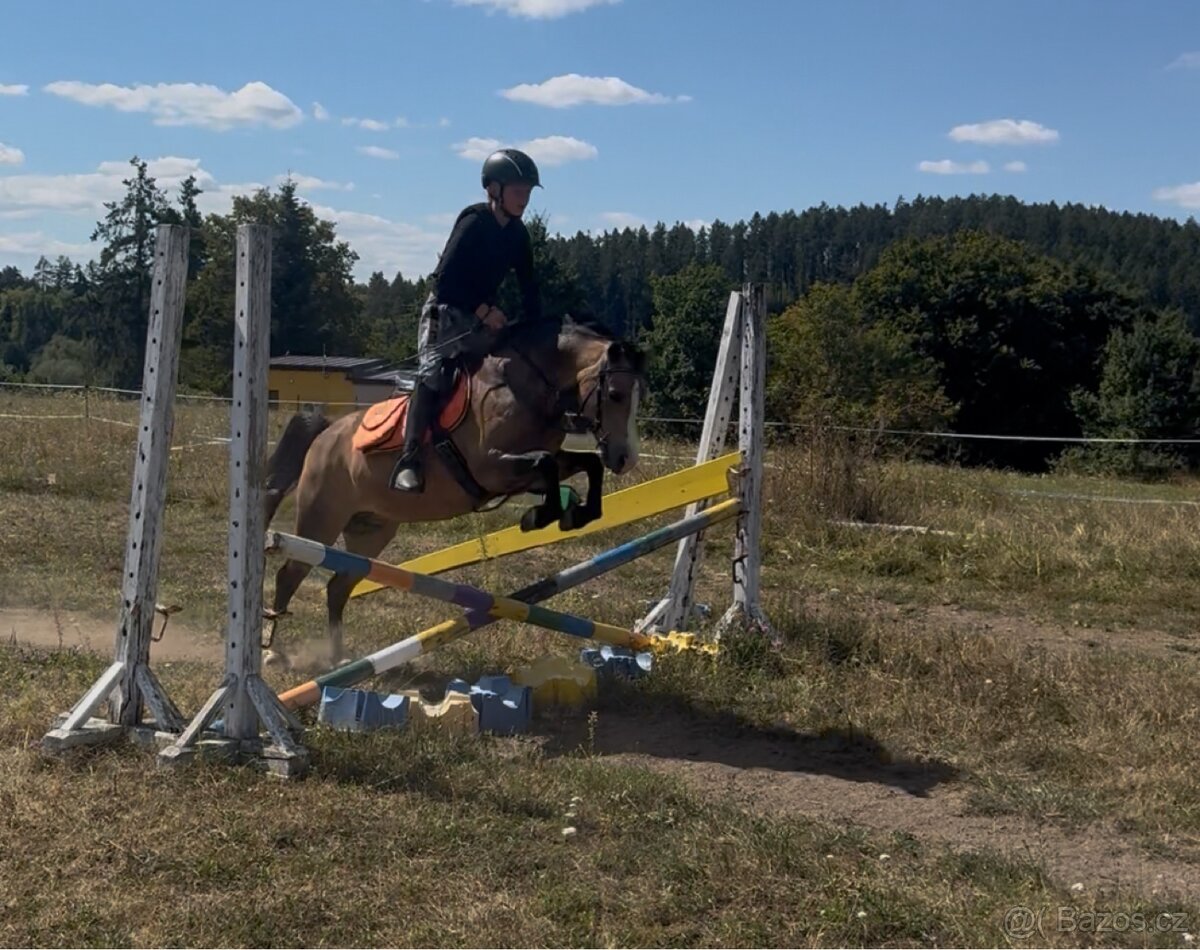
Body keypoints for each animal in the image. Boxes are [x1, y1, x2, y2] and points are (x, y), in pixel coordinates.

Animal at [261, 317, 647, 666]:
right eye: (615, 395)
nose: (626, 459)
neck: (527, 391)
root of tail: (325, 435)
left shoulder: (524, 471)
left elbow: (584, 465)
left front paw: (574, 514)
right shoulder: (492, 467)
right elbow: (548, 465)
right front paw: (539, 516)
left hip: (371, 530)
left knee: (338, 587)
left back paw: (338, 658)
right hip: (321, 520)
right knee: (290, 575)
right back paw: (271, 651)